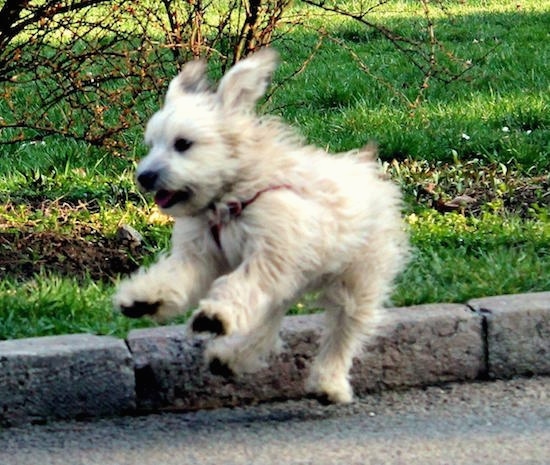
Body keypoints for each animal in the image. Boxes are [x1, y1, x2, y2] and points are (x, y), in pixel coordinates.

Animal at [115, 48, 410, 402]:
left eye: (183, 143)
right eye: (152, 144)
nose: (144, 176)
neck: (229, 197)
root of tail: (366, 168)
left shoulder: (271, 253)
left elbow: (240, 283)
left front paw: (214, 317)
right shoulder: (200, 255)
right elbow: (176, 276)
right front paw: (144, 298)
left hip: (358, 276)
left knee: (345, 327)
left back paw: (329, 382)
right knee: (267, 319)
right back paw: (231, 357)